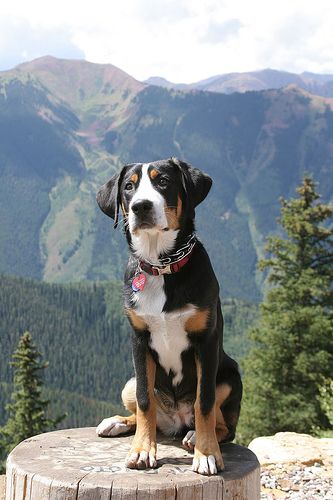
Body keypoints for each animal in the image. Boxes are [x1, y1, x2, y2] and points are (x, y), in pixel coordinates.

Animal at [95, 157, 241, 476]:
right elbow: (144, 400)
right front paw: (141, 450)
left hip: (230, 376)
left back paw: (195, 435)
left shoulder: (206, 341)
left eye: (162, 181)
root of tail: (176, 422)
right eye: (129, 187)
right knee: (143, 407)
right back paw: (118, 423)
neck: (161, 267)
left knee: (224, 425)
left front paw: (207, 454)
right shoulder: (139, 340)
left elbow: (204, 401)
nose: (141, 206)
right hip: (128, 381)